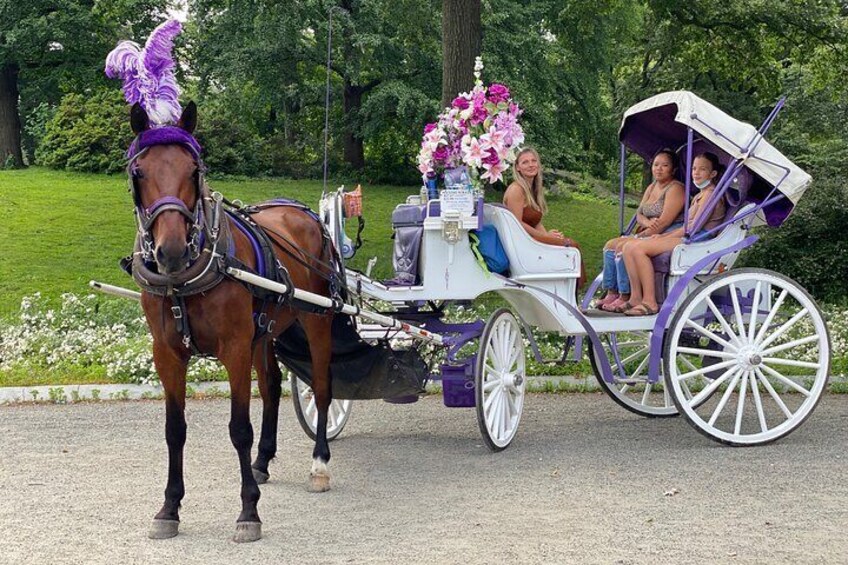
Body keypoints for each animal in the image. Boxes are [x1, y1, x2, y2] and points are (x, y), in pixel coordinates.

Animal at [129, 102, 334, 540]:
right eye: (139, 173)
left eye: (193, 170)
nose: (171, 250)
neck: (184, 278)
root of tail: (302, 211)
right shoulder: (167, 353)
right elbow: (175, 430)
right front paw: (169, 507)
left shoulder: (235, 349)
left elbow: (239, 428)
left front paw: (248, 510)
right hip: (266, 329)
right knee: (272, 387)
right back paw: (263, 460)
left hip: (317, 319)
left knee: (323, 388)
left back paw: (320, 463)